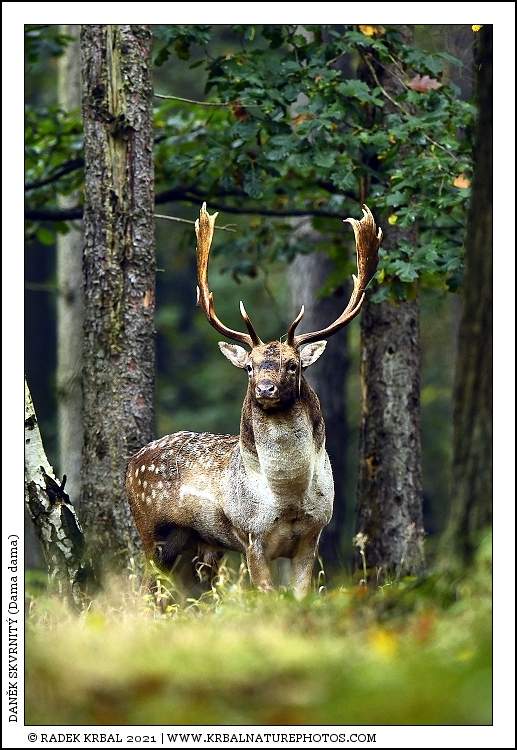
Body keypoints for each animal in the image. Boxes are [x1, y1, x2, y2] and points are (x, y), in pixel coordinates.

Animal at [126, 203, 382, 599]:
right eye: (249, 366)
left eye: (293, 365)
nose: (265, 389)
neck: (288, 500)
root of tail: (128, 465)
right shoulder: (251, 536)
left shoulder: (313, 535)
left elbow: (300, 596)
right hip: (153, 532)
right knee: (144, 592)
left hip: (195, 547)